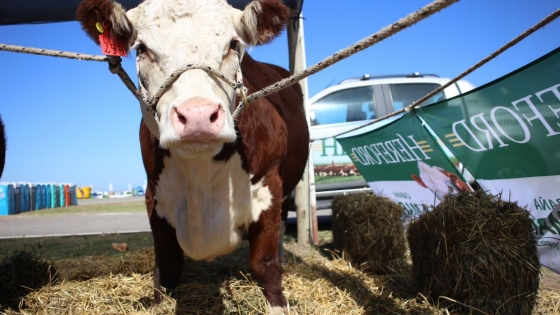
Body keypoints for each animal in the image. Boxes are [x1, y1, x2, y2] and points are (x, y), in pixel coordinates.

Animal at [76, 0, 308, 314]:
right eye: (142, 49)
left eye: (233, 44)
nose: (198, 116)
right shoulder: (154, 197)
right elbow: (167, 267)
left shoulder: (269, 186)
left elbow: (265, 263)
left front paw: (277, 304)